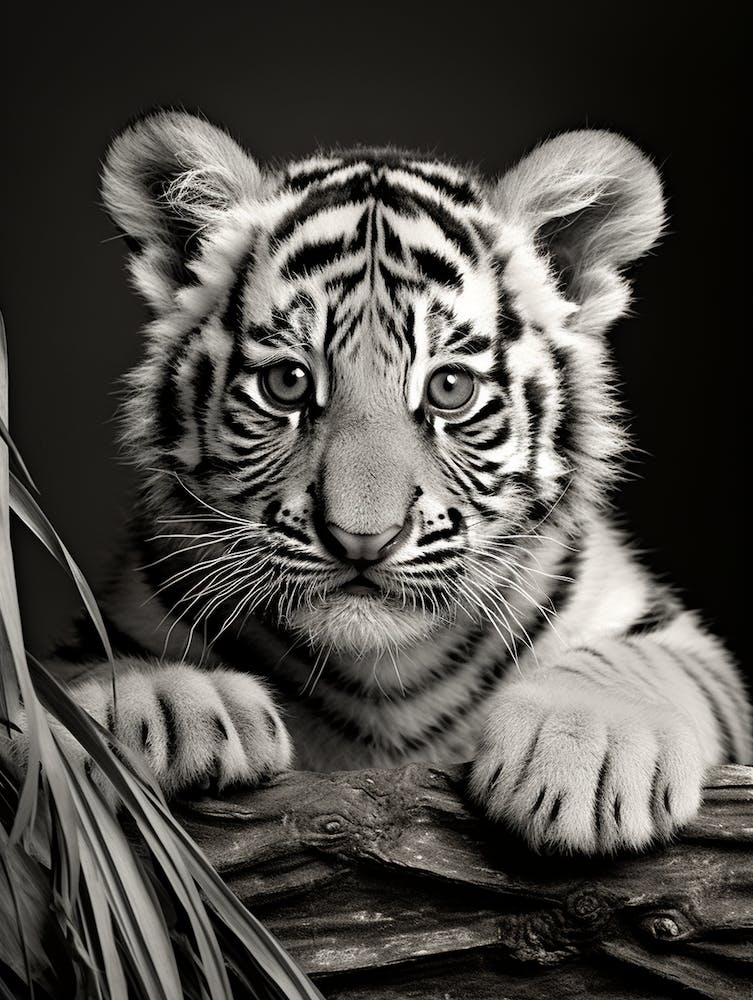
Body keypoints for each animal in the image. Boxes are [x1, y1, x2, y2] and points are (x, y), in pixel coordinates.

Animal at [14, 110, 752, 856]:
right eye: (287, 383)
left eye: (450, 388)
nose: (361, 539)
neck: (383, 679)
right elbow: (83, 672)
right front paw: (159, 703)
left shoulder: (685, 648)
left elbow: (637, 661)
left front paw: (587, 749)